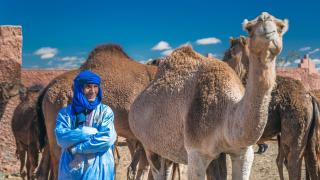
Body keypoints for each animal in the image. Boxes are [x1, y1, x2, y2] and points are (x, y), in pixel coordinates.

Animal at [129, 11, 288, 179]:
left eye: (281, 26)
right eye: (249, 28)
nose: (265, 19)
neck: (226, 112)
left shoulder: (243, 152)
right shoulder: (196, 152)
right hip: (148, 145)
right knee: (156, 168)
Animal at [224, 35, 320, 179]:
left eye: (230, 54)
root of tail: (310, 96)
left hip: (294, 130)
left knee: (293, 162)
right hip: (309, 134)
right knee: (311, 161)